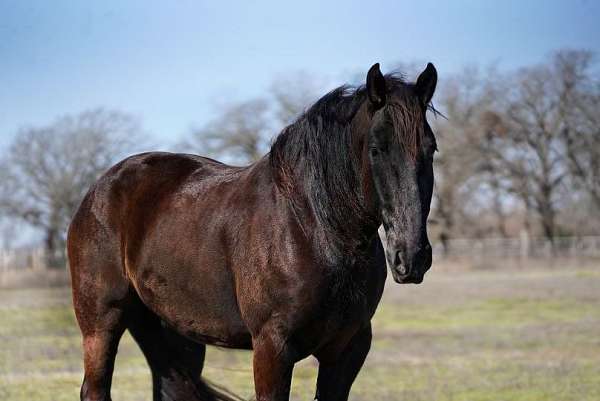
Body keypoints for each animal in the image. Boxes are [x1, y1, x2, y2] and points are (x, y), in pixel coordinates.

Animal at [68, 60, 438, 400]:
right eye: (376, 149)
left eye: (431, 149)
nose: (411, 257)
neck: (315, 229)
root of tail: (99, 189)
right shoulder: (272, 346)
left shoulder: (349, 347)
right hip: (102, 322)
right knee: (95, 388)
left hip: (170, 331)